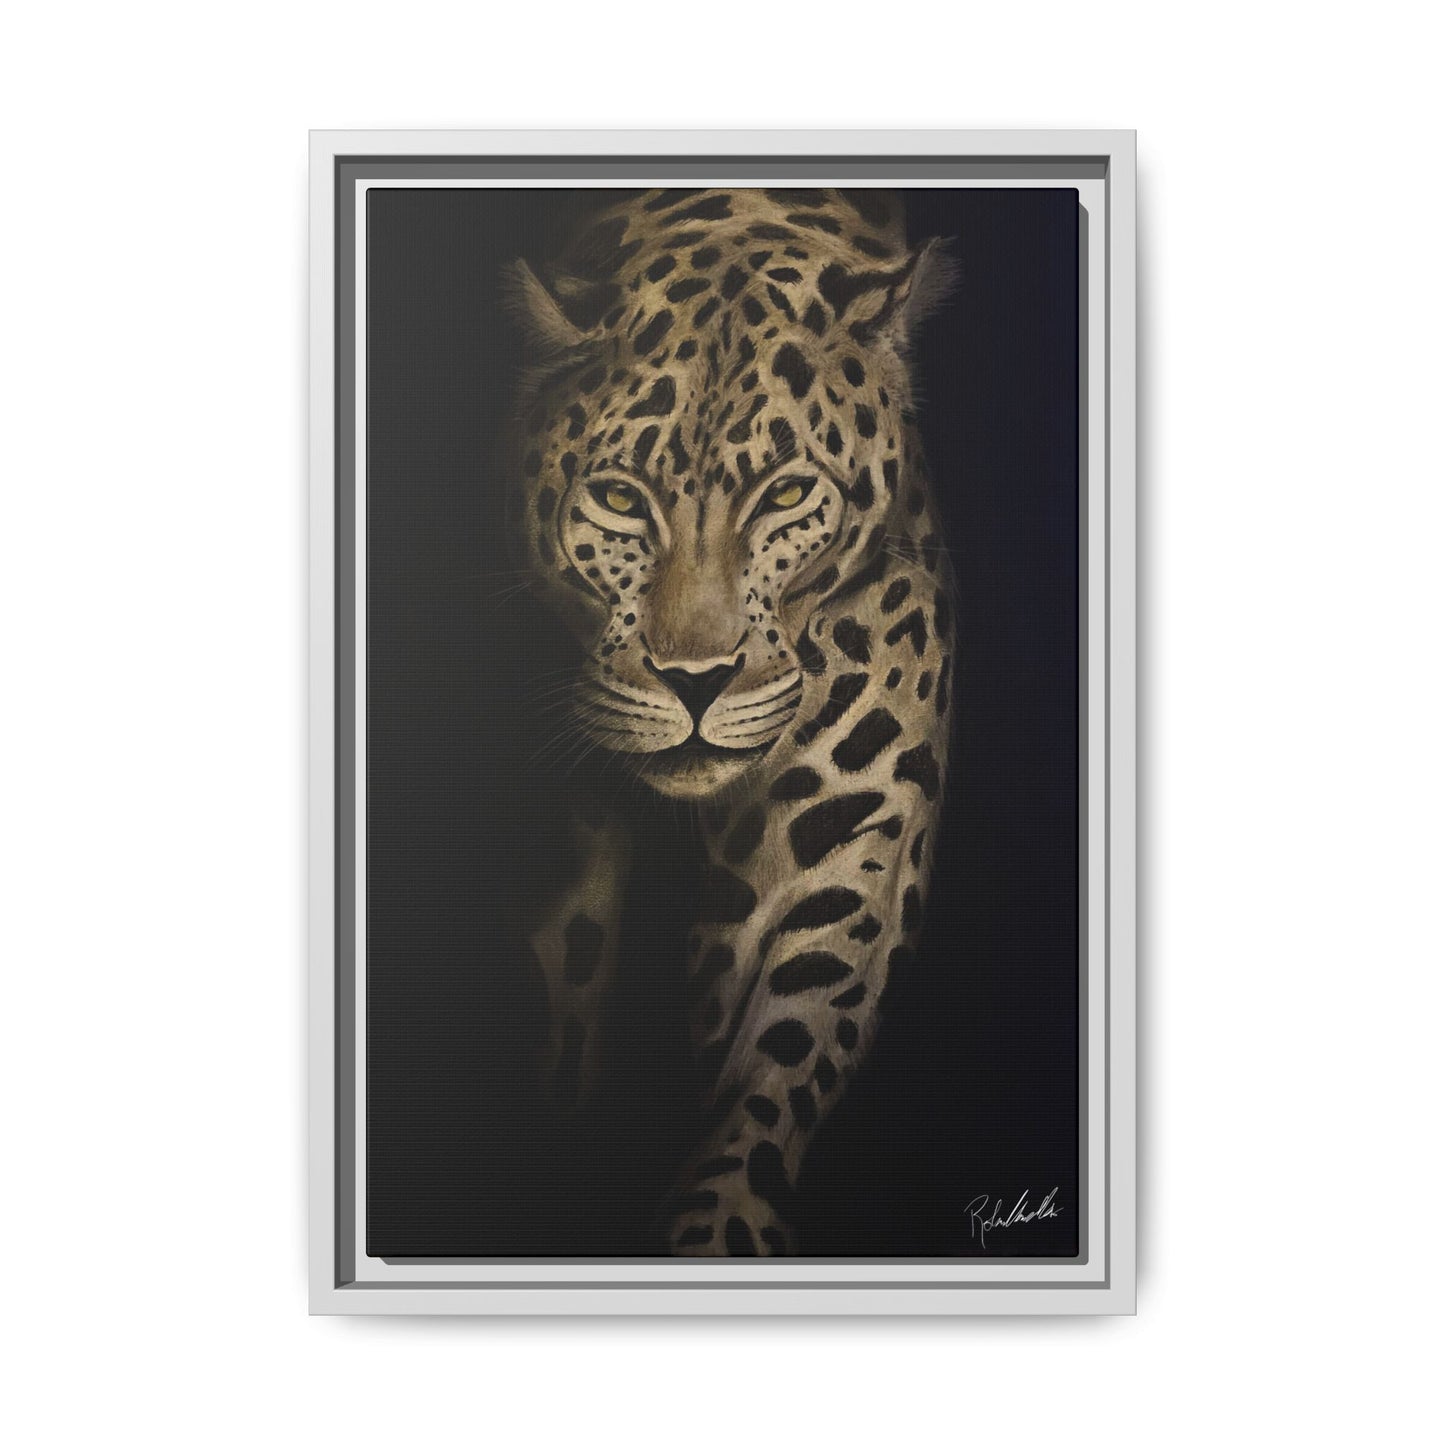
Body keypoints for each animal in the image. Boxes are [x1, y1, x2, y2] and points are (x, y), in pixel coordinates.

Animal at [503, 187, 956, 1256]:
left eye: (785, 493)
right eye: (619, 497)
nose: (695, 682)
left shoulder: (845, 840)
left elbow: (779, 1060)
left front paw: (719, 1227)